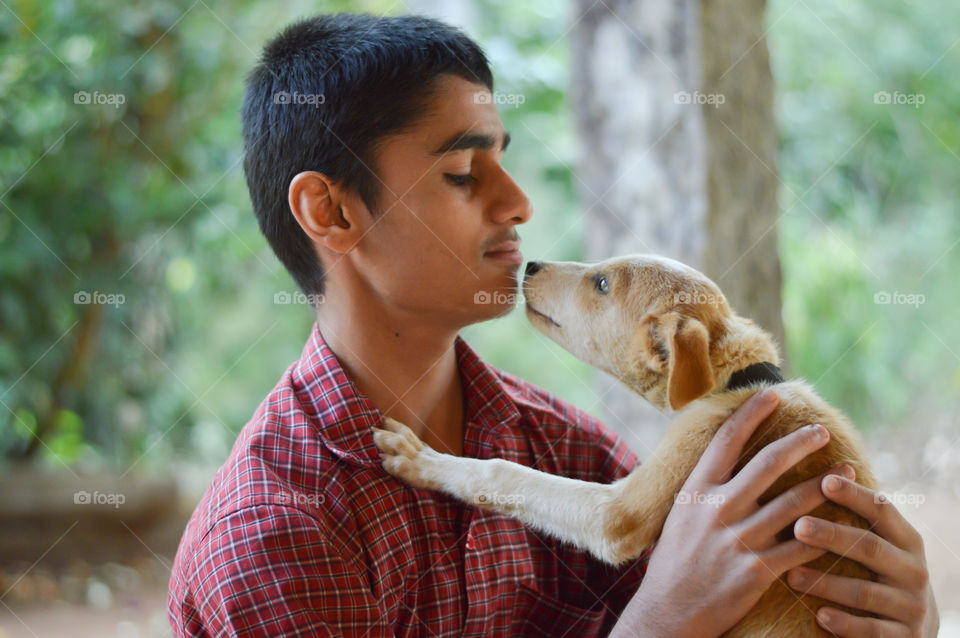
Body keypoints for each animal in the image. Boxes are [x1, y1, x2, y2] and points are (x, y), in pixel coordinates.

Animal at [374, 256, 876, 638]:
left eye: (602, 284)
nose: (531, 263)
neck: (737, 381)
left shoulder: (619, 514)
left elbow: (503, 471)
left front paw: (420, 458)